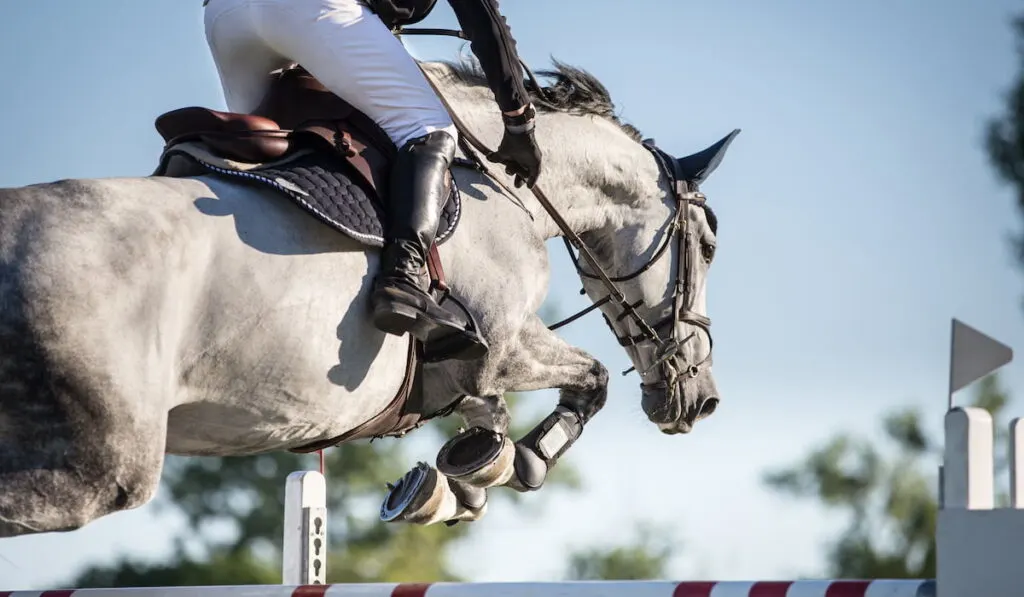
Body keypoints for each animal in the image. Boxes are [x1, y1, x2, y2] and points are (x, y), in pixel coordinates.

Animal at [0, 59, 737, 536]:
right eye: (707, 246)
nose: (701, 400)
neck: (497, 179)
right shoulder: (503, 342)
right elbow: (589, 380)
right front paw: (515, 461)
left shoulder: (462, 371)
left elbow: (489, 414)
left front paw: (456, 481)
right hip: (100, 464)